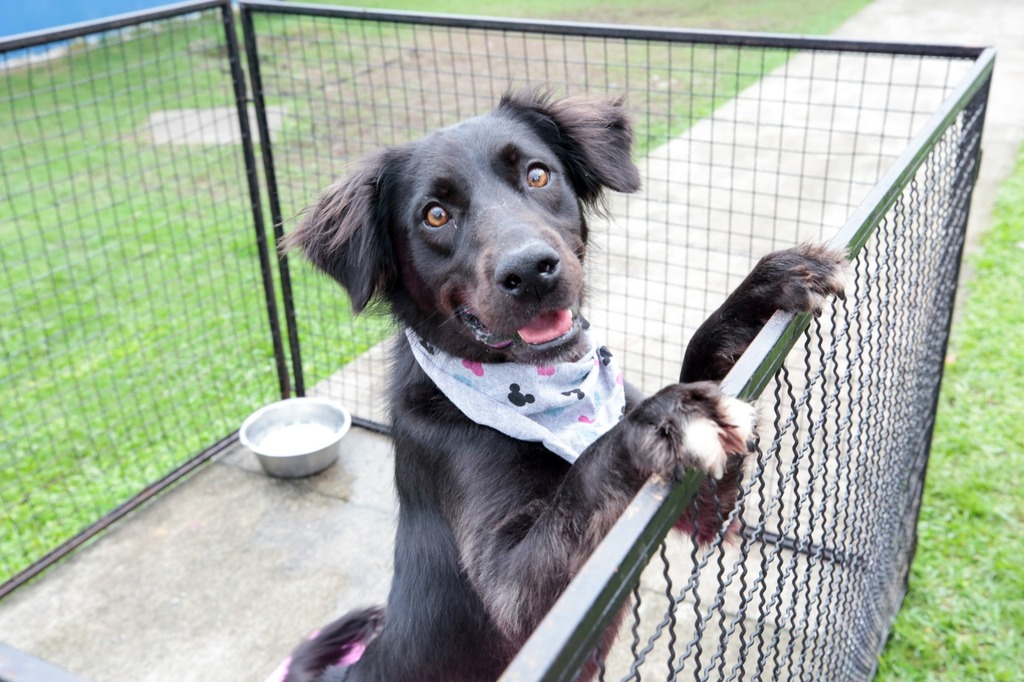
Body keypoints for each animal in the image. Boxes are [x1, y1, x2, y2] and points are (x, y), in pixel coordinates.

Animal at [276, 90, 843, 679]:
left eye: (537, 174)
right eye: (435, 214)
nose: (530, 271)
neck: (542, 387)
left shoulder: (691, 508)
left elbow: (700, 363)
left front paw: (757, 294)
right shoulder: (522, 602)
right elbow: (584, 479)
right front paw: (664, 419)